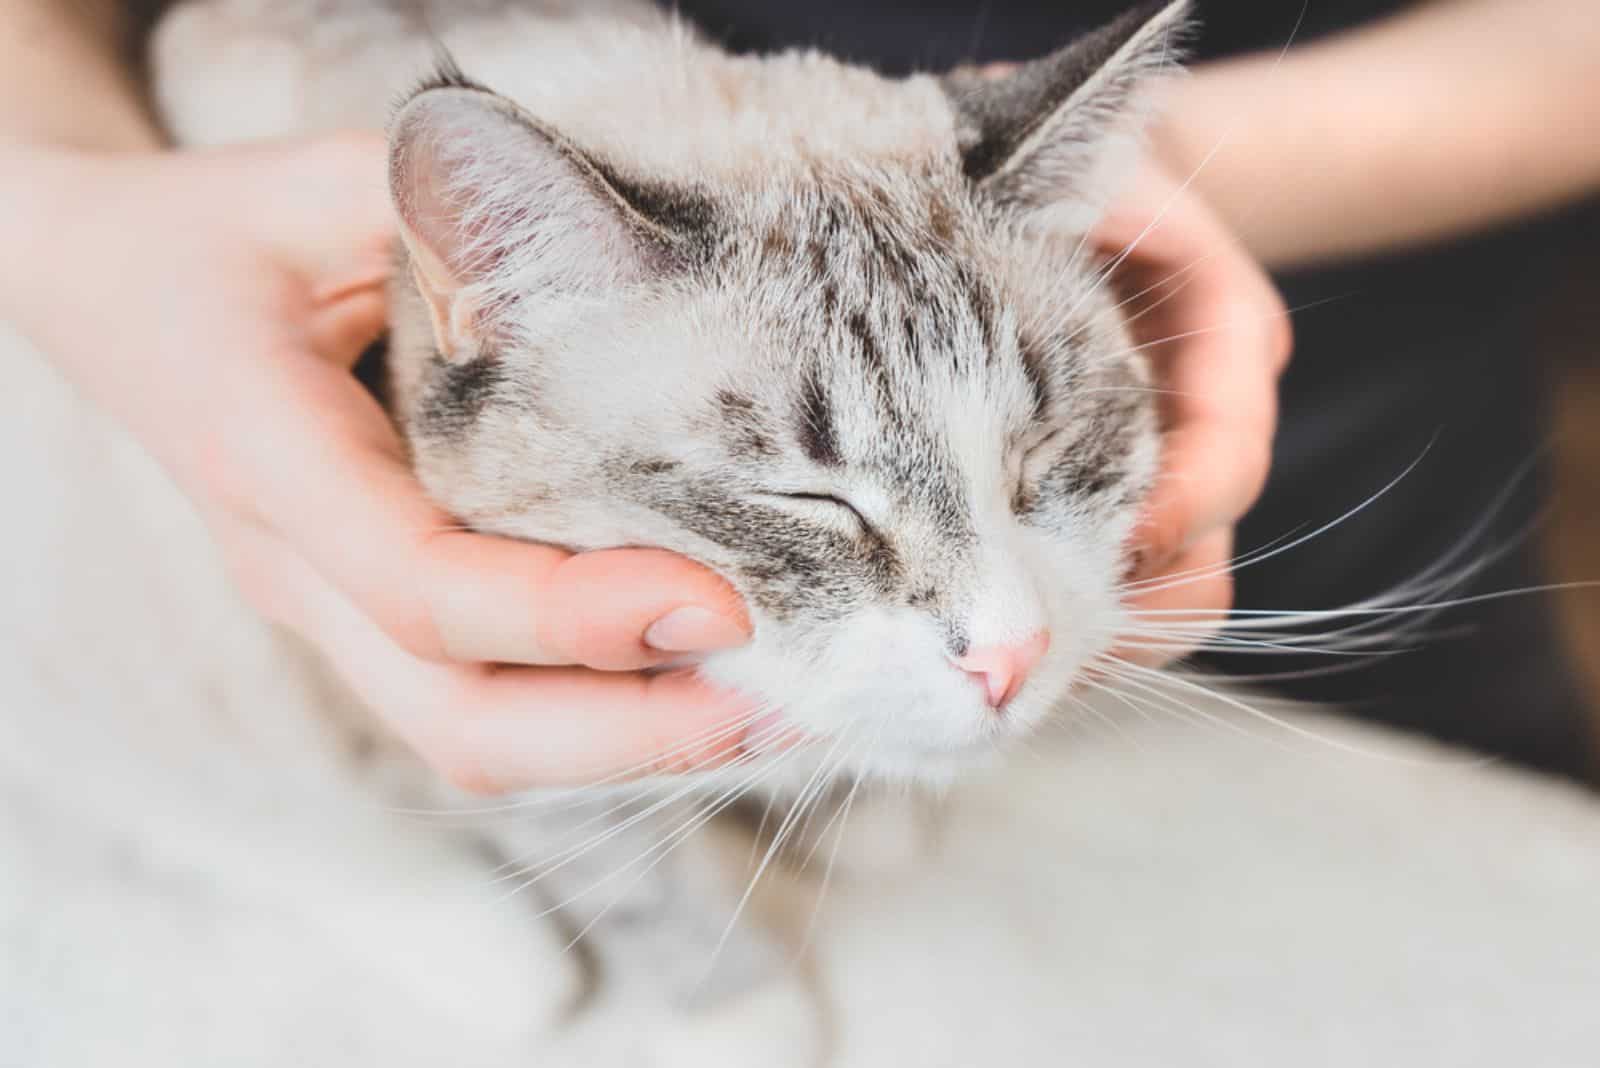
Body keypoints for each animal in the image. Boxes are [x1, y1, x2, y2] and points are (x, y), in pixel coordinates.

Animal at [152, 0, 1190, 1061]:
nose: (1013, 657)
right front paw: (743, 1013)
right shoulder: (493, 725)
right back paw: (496, 965)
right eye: (811, 499)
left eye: (1043, 448)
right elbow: (632, 875)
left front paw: (858, 815)